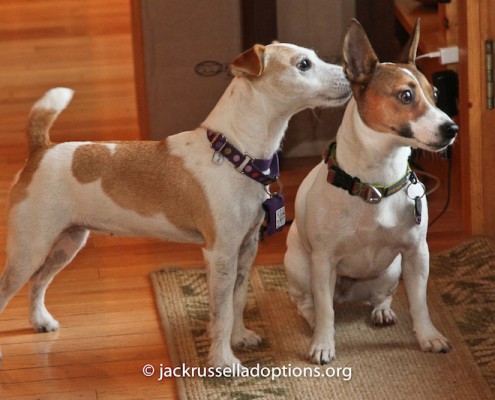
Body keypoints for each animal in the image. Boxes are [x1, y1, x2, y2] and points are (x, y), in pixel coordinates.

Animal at [0, 43, 352, 366]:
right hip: (30, 250)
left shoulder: (245, 247)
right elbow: (221, 313)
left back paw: (41, 322)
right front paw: (224, 362)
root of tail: (41, 149)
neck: (233, 155)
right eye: (303, 64)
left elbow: (237, 300)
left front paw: (240, 338)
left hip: (66, 244)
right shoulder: (220, 253)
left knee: (38, 282)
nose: (351, 73)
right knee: (9, 289)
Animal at [284, 19, 460, 366]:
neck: (377, 184)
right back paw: (313, 321)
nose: (452, 129)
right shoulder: (323, 261)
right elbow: (325, 312)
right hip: (300, 268)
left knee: (381, 296)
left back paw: (382, 312)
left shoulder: (417, 253)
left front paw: (428, 336)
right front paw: (323, 343)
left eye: (434, 93)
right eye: (405, 95)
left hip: (391, 270)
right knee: (310, 304)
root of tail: (347, 293)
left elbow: (419, 303)